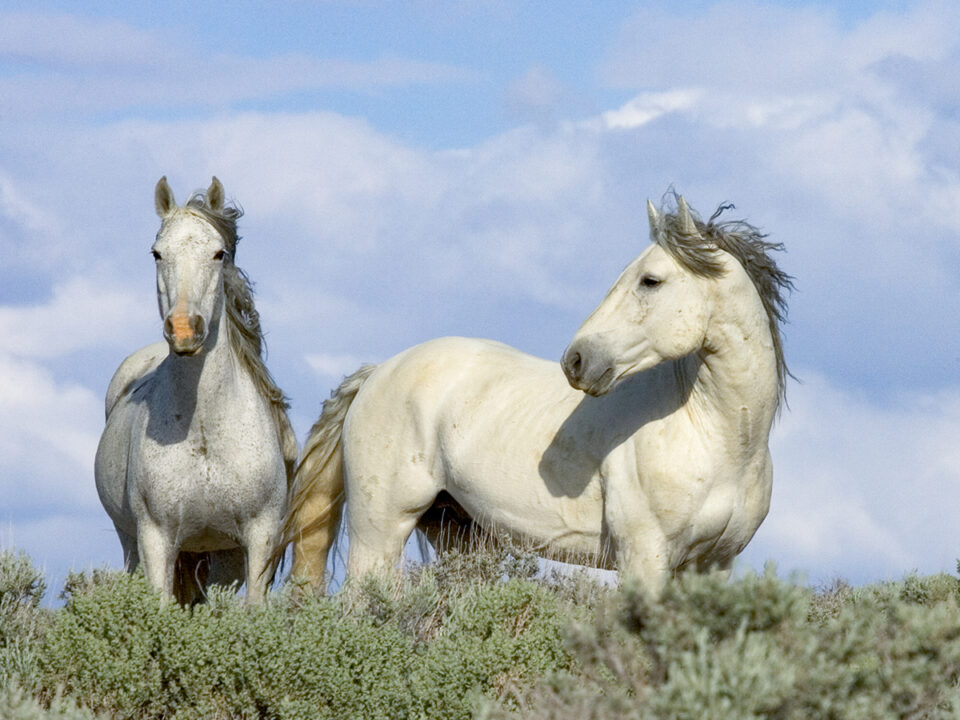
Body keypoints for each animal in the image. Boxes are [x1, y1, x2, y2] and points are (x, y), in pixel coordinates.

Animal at [94, 179, 296, 600]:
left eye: (218, 253)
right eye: (157, 253)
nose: (185, 329)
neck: (205, 431)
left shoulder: (259, 539)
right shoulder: (156, 539)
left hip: (221, 560)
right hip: (133, 543)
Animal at [282, 193, 792, 596]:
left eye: (651, 280)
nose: (577, 361)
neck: (719, 437)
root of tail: (378, 373)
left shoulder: (713, 566)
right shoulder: (645, 557)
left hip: (456, 534)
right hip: (380, 533)